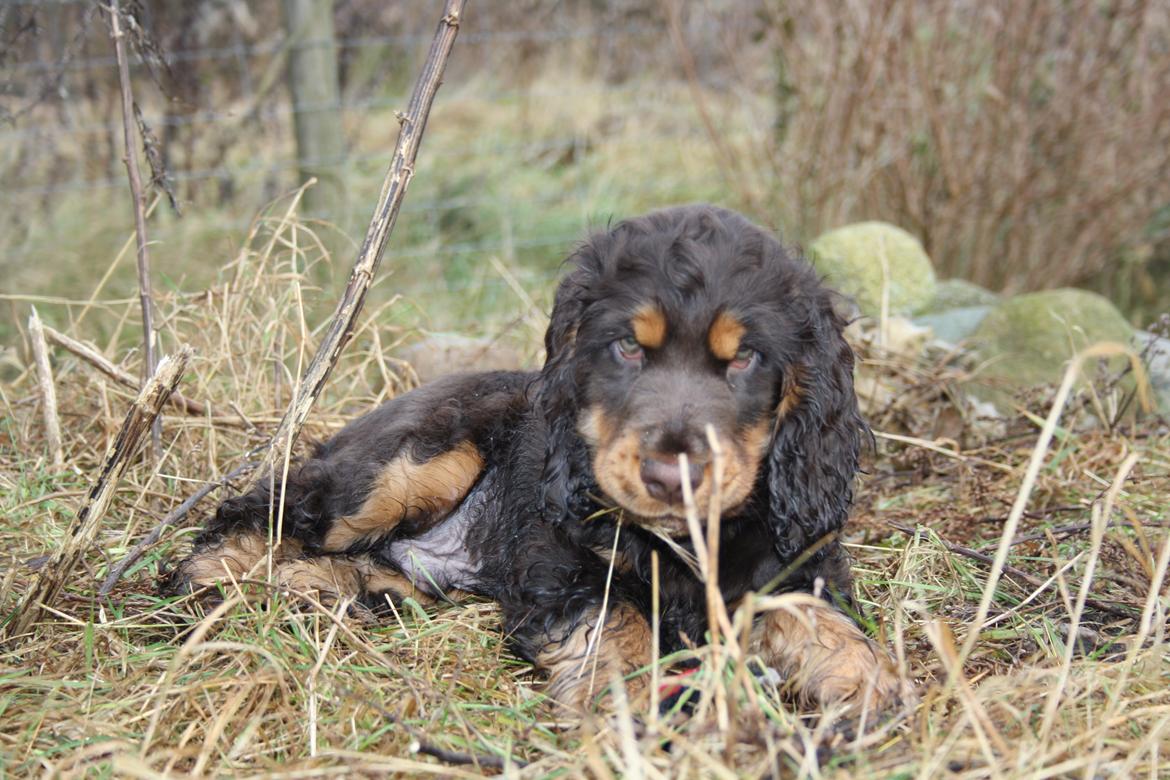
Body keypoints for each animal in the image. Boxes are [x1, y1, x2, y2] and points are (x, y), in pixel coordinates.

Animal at [169, 205, 907, 715]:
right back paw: (211, 582)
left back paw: (318, 587)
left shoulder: (793, 556)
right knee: (262, 507)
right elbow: (619, 624)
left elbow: (815, 615)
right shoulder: (561, 568)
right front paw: (626, 714)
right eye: (627, 348)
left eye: (746, 357)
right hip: (410, 467)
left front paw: (865, 682)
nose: (670, 476)